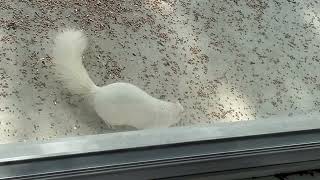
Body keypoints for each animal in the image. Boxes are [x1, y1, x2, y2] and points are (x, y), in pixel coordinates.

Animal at [52, 29, 182, 129]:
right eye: (181, 113)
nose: (183, 111)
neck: (166, 111)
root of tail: (99, 91)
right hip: (112, 116)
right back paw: (111, 125)